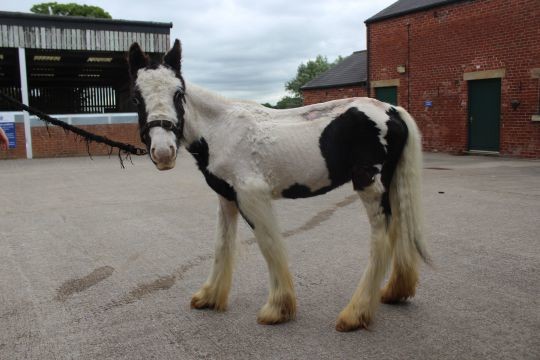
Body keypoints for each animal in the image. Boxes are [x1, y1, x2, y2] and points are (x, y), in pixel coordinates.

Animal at [127, 39, 430, 332]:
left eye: (178, 93)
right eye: (136, 97)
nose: (163, 152)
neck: (221, 129)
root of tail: (392, 110)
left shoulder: (251, 196)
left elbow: (269, 246)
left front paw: (278, 309)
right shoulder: (227, 198)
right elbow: (222, 244)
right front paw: (210, 296)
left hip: (370, 186)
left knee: (382, 239)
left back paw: (355, 314)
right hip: (391, 184)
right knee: (399, 228)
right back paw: (394, 291)